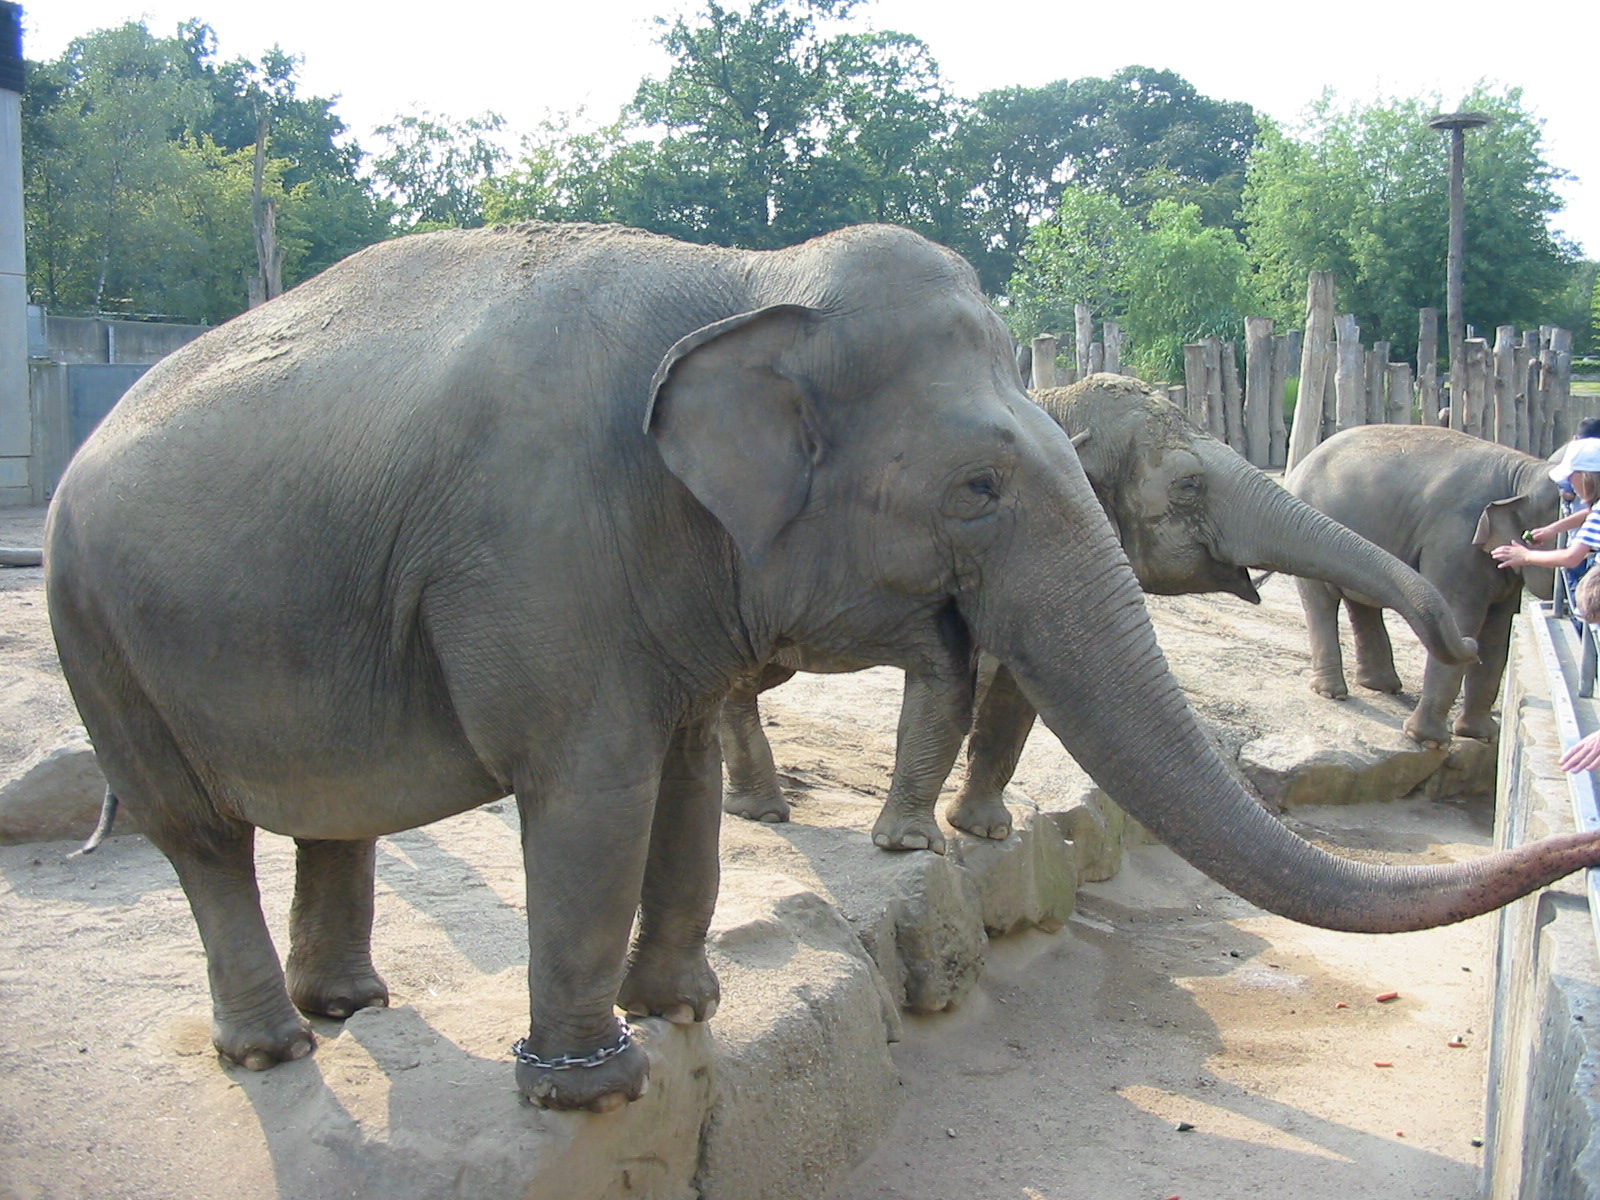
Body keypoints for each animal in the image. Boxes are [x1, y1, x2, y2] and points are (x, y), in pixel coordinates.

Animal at [721, 374, 1480, 850]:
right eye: (1188, 485)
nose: (1467, 644)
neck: (1051, 401)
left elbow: (1017, 693)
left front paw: (986, 831)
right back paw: (762, 812)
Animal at [1287, 423, 1559, 746]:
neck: (1524, 472)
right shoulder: (1456, 542)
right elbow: (1461, 617)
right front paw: (1428, 741)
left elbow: (1498, 635)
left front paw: (1480, 736)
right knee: (1322, 600)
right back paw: (1331, 693)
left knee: (1361, 601)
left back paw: (1381, 686)